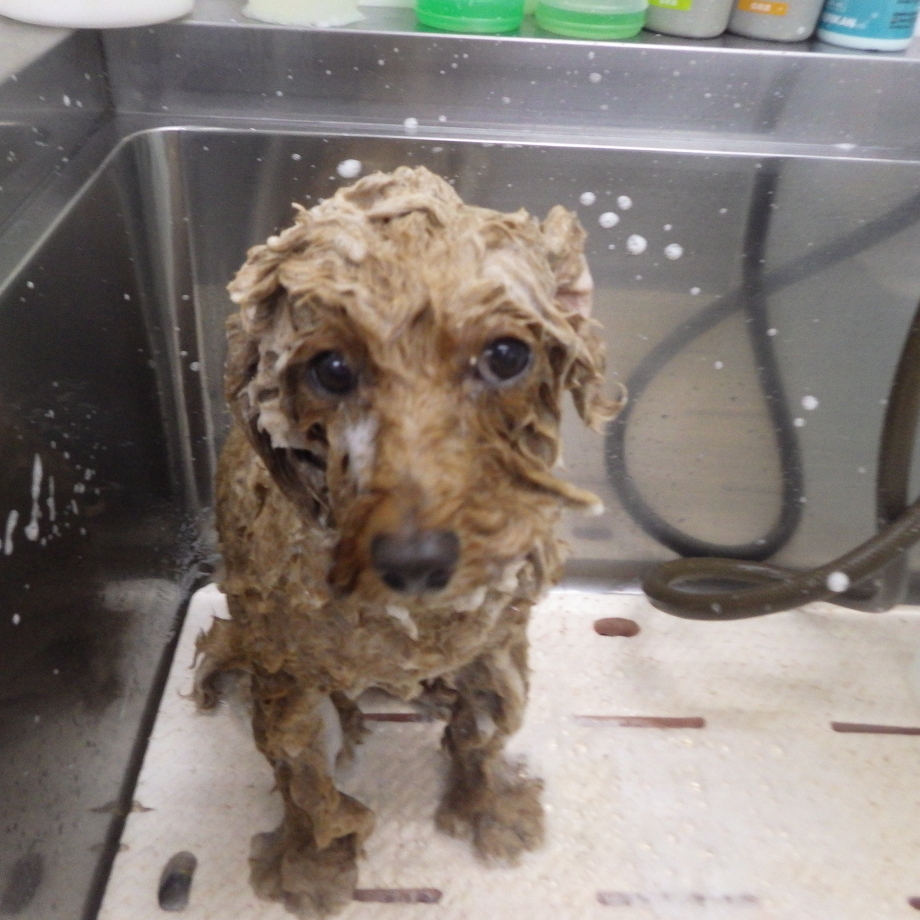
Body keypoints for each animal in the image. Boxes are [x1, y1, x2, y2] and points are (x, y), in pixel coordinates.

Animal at [193, 166, 621, 917]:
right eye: (332, 368)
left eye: (506, 355)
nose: (418, 561)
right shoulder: (286, 672)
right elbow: (302, 775)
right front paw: (310, 865)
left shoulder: (495, 644)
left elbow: (481, 736)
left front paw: (488, 810)